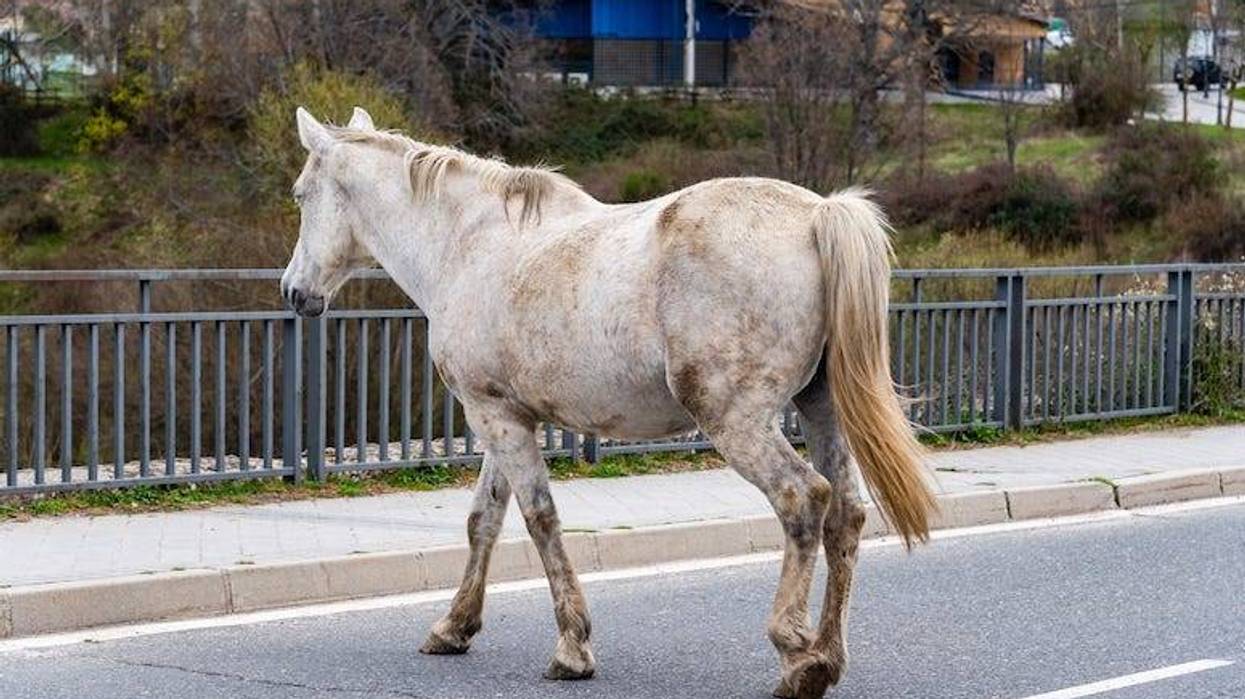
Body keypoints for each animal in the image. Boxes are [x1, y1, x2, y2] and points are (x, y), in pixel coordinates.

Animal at [280, 106, 936, 699]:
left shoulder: (495, 416)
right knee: (846, 514)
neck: (469, 244)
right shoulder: (502, 416)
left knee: (803, 499)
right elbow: (483, 520)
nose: (293, 291)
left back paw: (798, 657)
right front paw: (454, 626)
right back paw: (829, 655)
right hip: (821, 408)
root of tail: (817, 214)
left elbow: (540, 519)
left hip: (738, 421)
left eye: (300, 195)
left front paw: (572, 647)